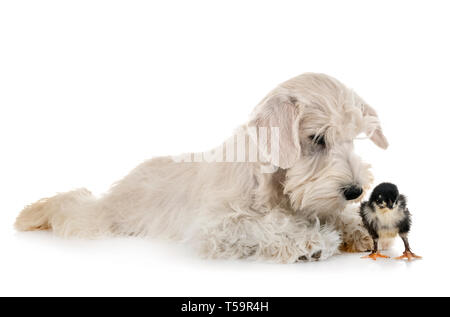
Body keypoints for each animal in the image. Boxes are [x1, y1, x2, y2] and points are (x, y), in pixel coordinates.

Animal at [15, 73, 388, 262]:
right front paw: (310, 240)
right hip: (103, 217)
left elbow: (328, 211)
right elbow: (266, 224)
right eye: (317, 138)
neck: (272, 182)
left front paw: (358, 227)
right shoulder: (217, 226)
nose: (355, 190)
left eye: (353, 137)